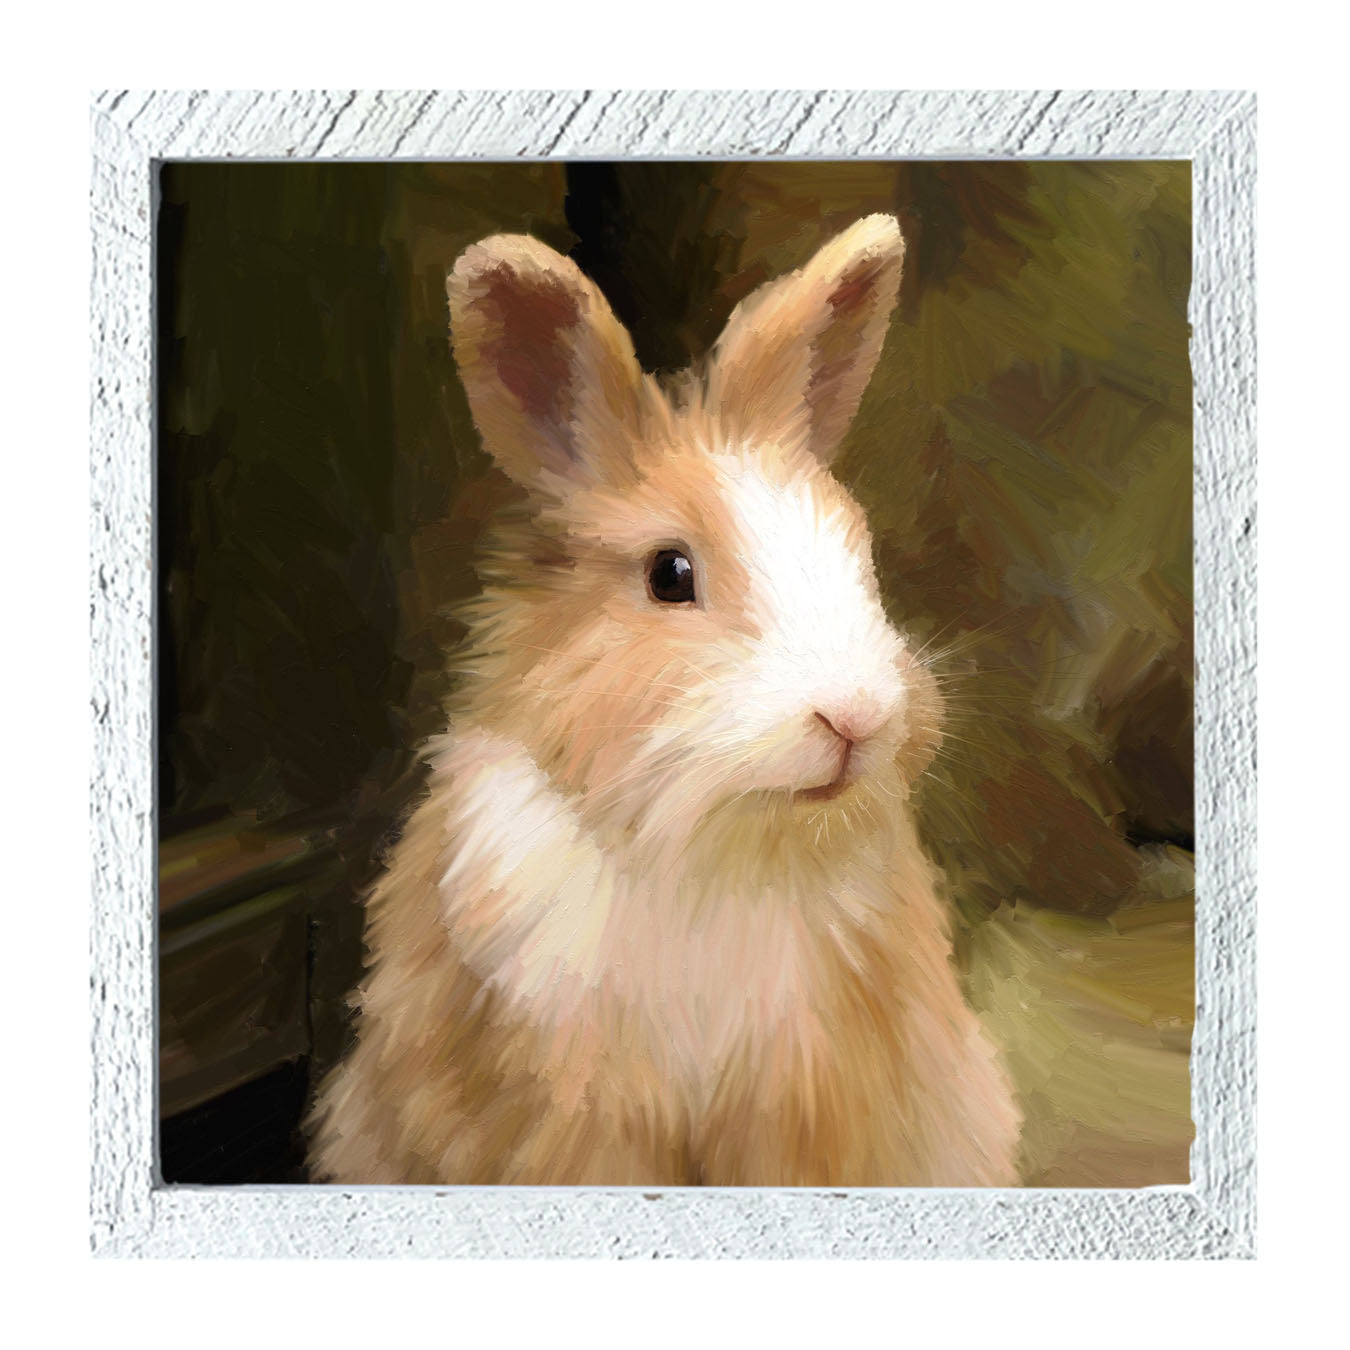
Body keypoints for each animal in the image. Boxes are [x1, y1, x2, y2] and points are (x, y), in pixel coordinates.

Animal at [308, 215, 1022, 1186]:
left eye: (858, 551)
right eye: (669, 575)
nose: (857, 716)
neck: (708, 848)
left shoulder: (806, 1097)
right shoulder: (575, 1104)